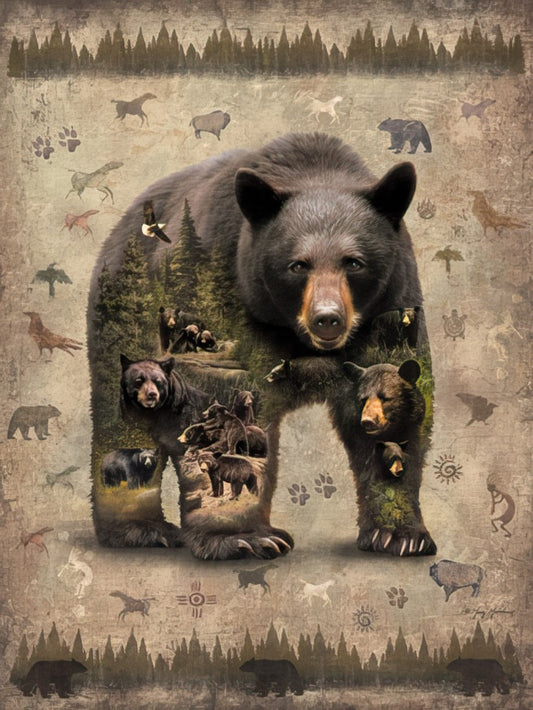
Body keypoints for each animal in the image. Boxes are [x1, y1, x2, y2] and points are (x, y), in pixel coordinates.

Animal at [88, 132, 435, 559]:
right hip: (122, 323)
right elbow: (221, 405)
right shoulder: (228, 301)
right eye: (297, 264)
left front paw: (400, 535)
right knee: (116, 418)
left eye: (354, 262)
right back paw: (141, 529)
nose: (327, 318)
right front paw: (244, 538)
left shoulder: (391, 313)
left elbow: (396, 411)